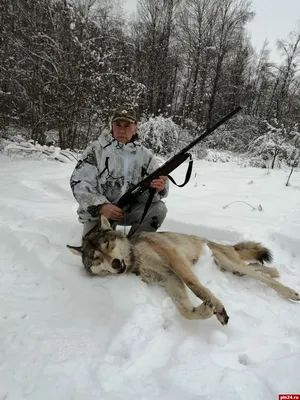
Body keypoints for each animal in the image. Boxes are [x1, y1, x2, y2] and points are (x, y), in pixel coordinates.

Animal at [67, 216, 298, 324]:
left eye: (108, 245)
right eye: (96, 259)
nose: (115, 264)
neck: (136, 260)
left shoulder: (175, 260)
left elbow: (195, 286)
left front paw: (216, 305)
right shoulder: (168, 279)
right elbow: (184, 311)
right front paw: (203, 311)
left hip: (228, 263)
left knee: (261, 276)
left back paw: (290, 292)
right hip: (228, 267)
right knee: (257, 268)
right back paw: (274, 271)